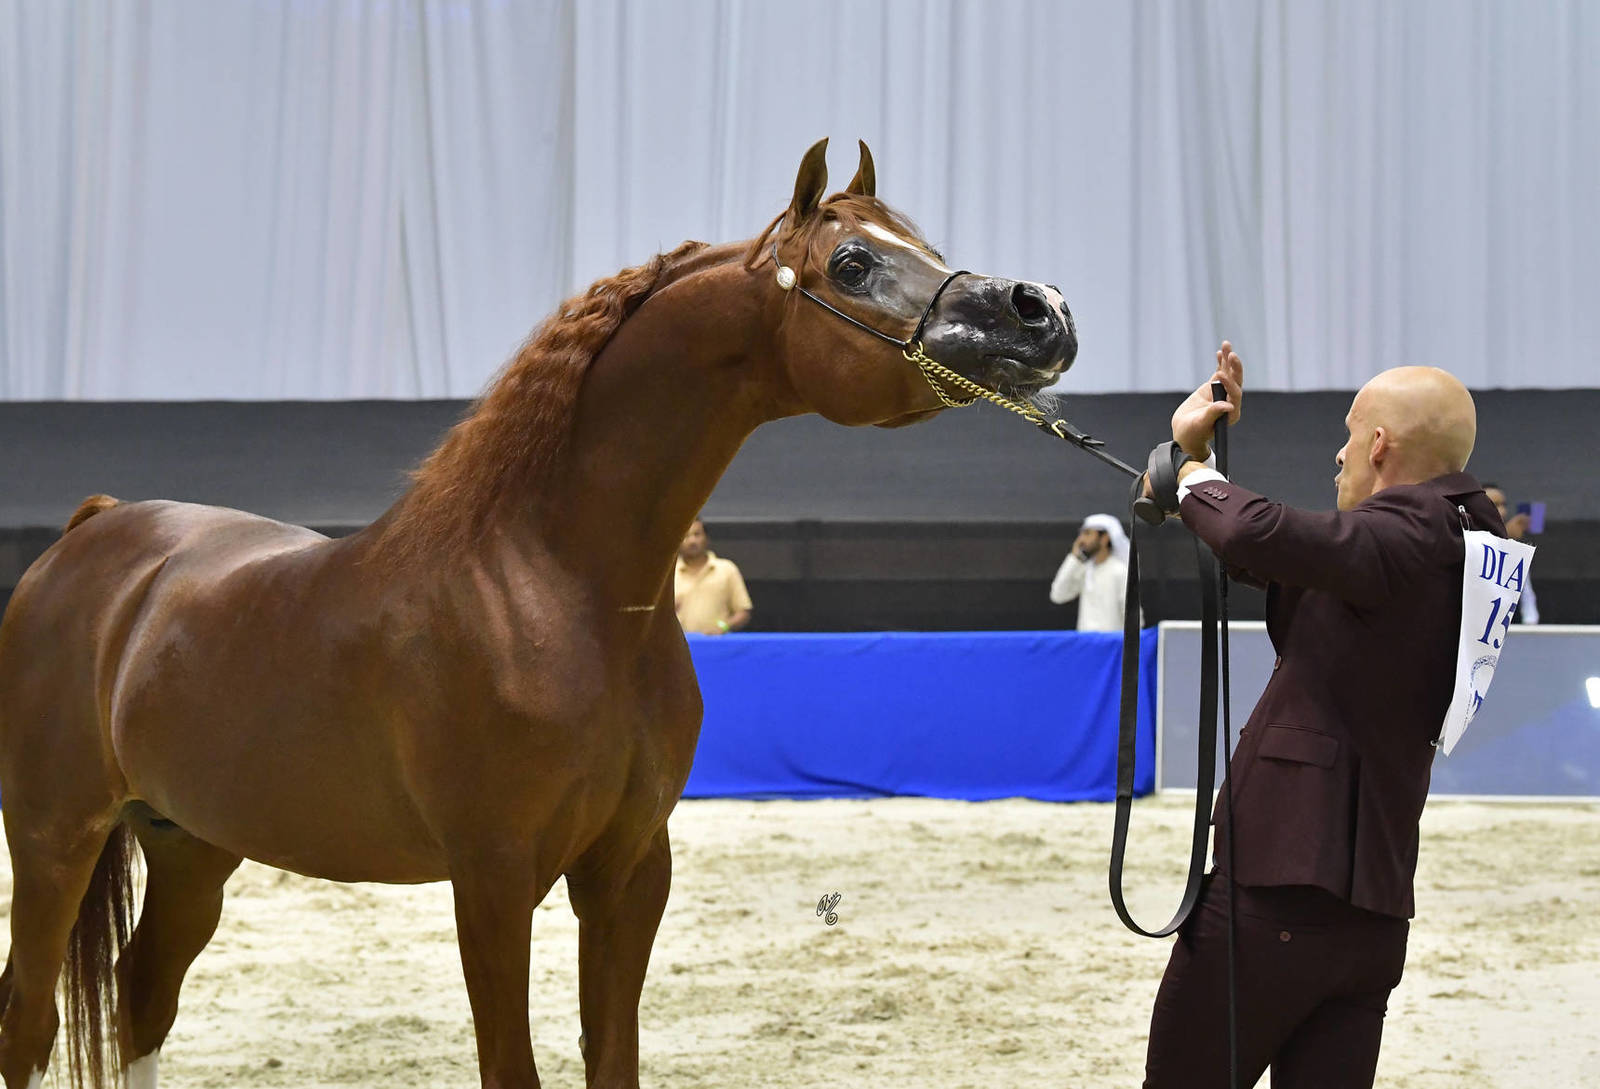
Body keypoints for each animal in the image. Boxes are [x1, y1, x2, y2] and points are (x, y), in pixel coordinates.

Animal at [0, 138, 1076, 1089]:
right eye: (852, 262)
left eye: (920, 240)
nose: (1041, 310)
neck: (555, 589)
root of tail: (92, 535)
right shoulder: (492, 877)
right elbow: (510, 1065)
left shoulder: (629, 870)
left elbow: (614, 1058)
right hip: (56, 840)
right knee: (31, 1018)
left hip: (190, 844)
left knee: (142, 995)